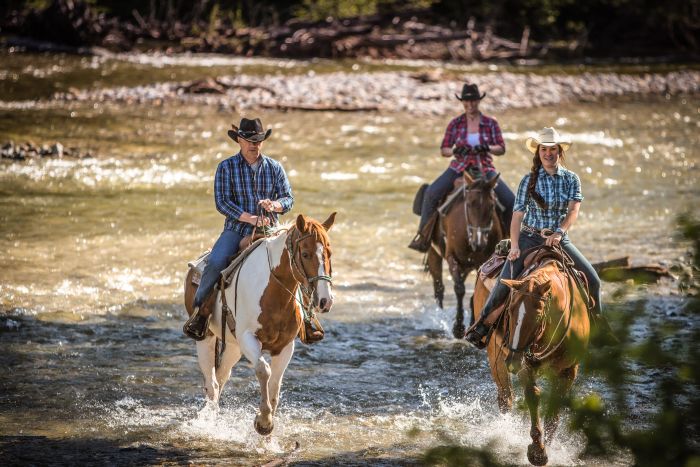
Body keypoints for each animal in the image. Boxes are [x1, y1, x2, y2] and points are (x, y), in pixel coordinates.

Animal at [470, 254, 592, 466]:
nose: (512, 361)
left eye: (537, 315)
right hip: (495, 354)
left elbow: (553, 412)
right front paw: (537, 451)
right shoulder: (525, 367)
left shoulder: (569, 370)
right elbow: (533, 396)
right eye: (509, 310)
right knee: (506, 399)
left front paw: (548, 446)